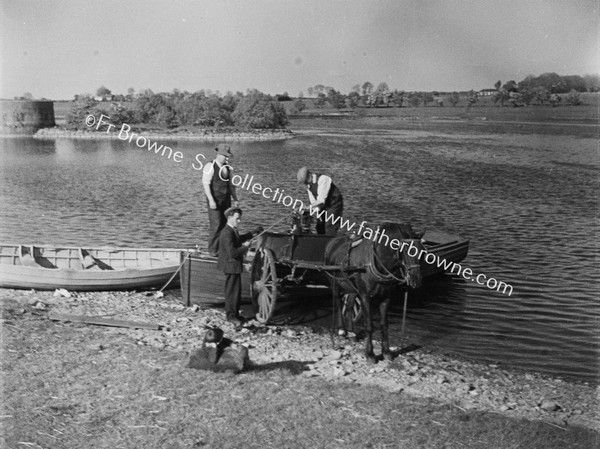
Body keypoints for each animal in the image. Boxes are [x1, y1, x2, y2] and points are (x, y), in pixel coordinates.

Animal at [324, 222, 422, 362]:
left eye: (422, 251)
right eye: (406, 250)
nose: (416, 279)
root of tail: (332, 242)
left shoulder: (386, 297)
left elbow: (384, 324)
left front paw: (386, 352)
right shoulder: (365, 296)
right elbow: (369, 325)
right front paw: (370, 354)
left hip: (352, 288)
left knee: (349, 305)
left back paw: (351, 331)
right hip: (335, 282)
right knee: (338, 302)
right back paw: (342, 329)